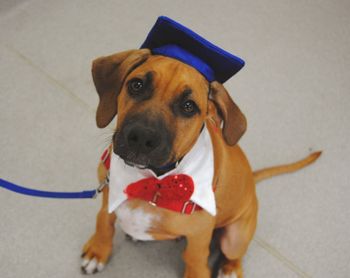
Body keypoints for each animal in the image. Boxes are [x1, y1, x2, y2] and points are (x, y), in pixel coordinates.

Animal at [80, 48, 322, 276]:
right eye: (136, 85)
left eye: (188, 106)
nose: (141, 138)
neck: (152, 182)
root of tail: (252, 182)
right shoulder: (108, 197)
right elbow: (104, 222)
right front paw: (98, 251)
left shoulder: (199, 236)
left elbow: (194, 260)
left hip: (235, 237)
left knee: (235, 254)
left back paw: (230, 270)